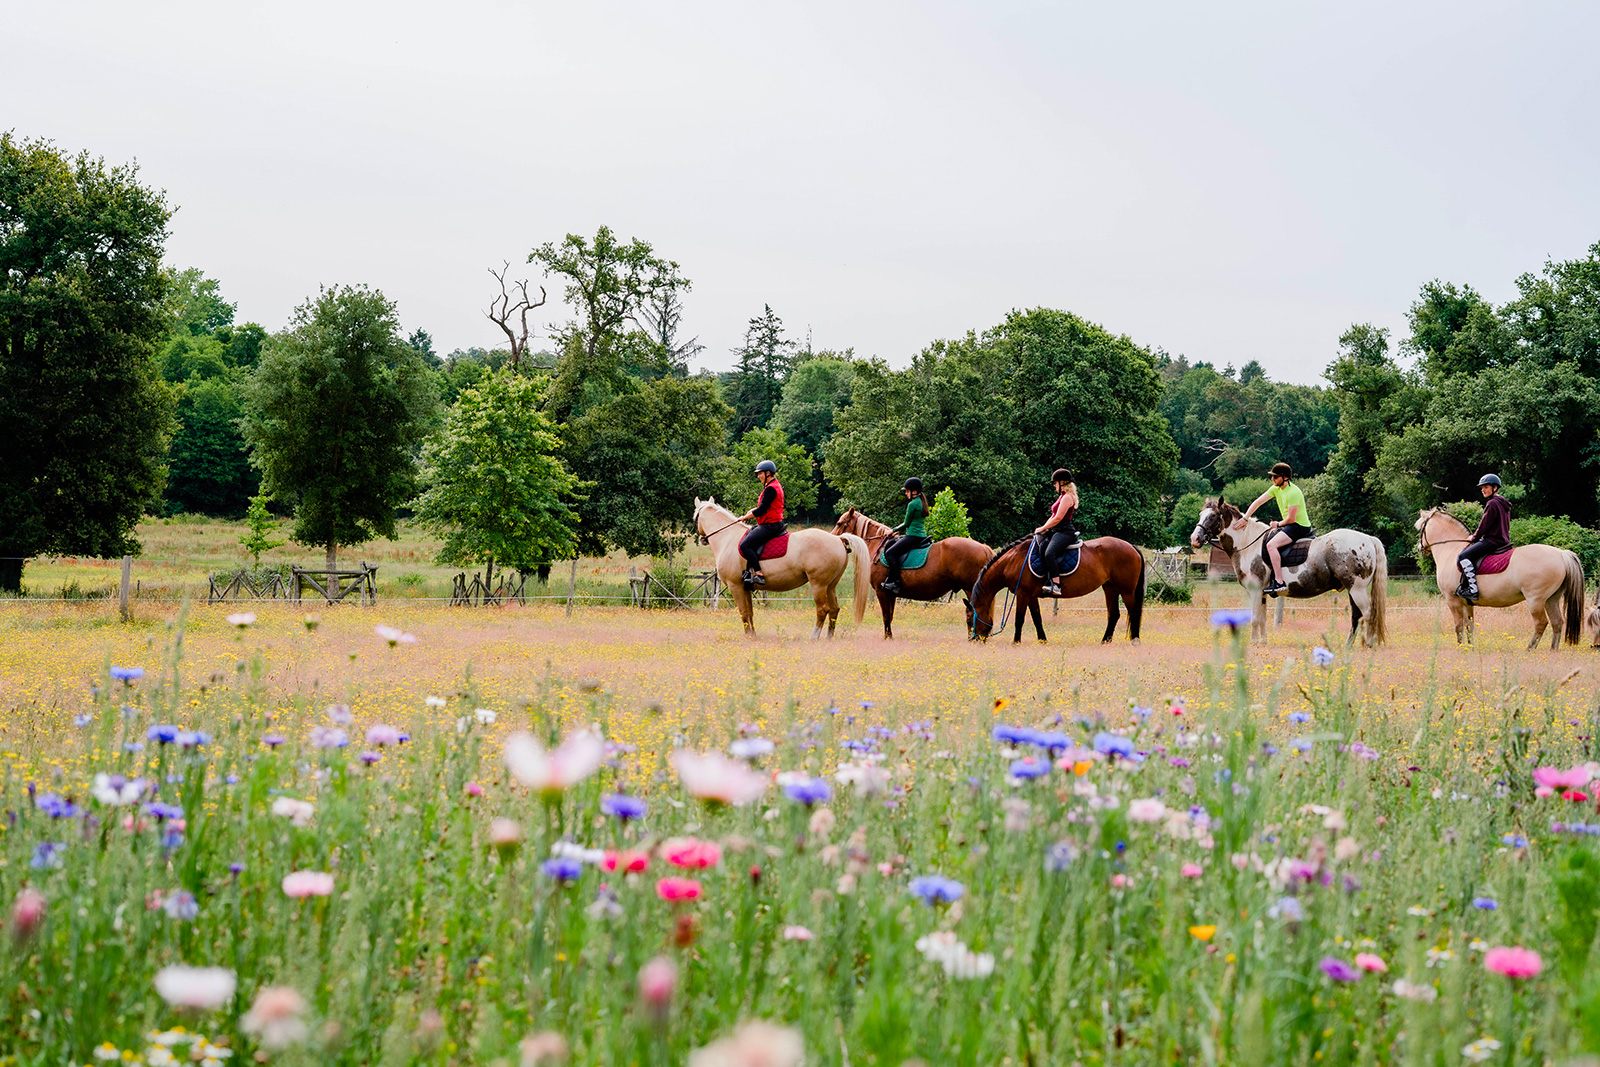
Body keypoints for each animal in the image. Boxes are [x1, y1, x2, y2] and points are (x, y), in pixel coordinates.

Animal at [691, 499, 870, 639]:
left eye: (696, 517)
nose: (702, 539)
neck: (728, 538)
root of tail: (838, 539)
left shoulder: (736, 586)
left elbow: (743, 612)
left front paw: (748, 637)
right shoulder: (746, 588)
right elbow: (749, 613)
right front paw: (753, 636)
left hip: (819, 585)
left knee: (822, 610)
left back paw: (814, 637)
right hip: (830, 586)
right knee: (834, 610)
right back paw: (829, 637)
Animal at [832, 508, 992, 639]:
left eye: (839, 523)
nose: (833, 539)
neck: (879, 547)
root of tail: (983, 547)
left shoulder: (881, 591)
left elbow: (885, 616)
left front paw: (887, 638)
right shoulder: (891, 593)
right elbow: (890, 616)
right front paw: (890, 637)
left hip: (971, 590)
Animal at [960, 534, 1152, 643]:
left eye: (969, 620)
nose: (973, 640)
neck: (1013, 560)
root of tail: (1131, 546)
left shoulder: (1022, 594)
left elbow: (1019, 619)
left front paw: (1016, 642)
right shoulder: (1031, 596)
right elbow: (1037, 618)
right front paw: (1042, 640)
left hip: (1126, 591)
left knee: (1134, 612)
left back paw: (1135, 640)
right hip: (1110, 588)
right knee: (1114, 614)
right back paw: (1105, 641)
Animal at [1190, 495, 1388, 646]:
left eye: (1213, 516)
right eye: (1201, 514)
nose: (1195, 539)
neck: (1248, 544)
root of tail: (1368, 539)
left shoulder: (1255, 590)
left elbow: (1254, 618)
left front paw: (1253, 643)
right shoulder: (1262, 592)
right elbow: (1262, 618)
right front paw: (1263, 642)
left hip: (1357, 589)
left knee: (1368, 614)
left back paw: (1368, 644)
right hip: (1352, 589)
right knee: (1357, 616)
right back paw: (1349, 645)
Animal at [1414, 508, 1587, 652]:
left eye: (1421, 529)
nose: (1420, 549)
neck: (1450, 550)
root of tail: (1561, 554)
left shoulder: (1453, 601)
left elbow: (1458, 626)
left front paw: (1460, 648)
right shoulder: (1467, 603)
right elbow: (1469, 626)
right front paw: (1470, 648)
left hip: (1536, 600)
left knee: (1541, 623)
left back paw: (1529, 650)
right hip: (1551, 599)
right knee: (1557, 622)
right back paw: (1553, 650)